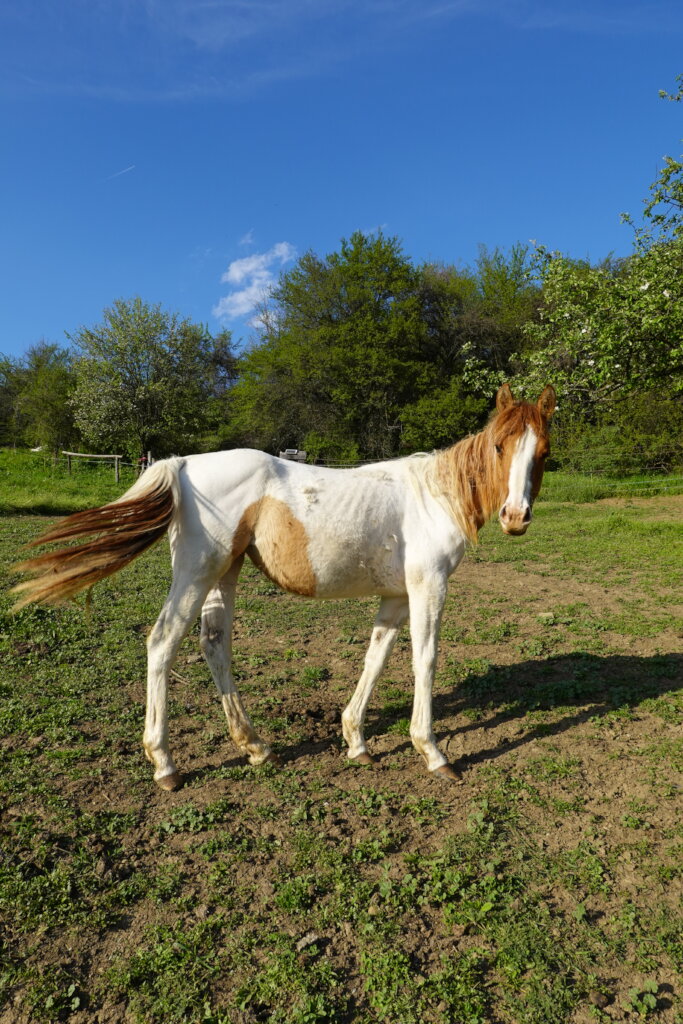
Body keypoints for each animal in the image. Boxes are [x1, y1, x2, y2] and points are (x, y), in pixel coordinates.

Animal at [14, 382, 556, 791]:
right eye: (500, 446)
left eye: (544, 454)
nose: (515, 517)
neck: (433, 496)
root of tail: (183, 463)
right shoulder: (429, 588)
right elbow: (425, 660)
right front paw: (433, 752)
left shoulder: (397, 596)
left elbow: (376, 658)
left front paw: (356, 741)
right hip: (195, 575)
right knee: (162, 644)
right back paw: (165, 764)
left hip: (223, 575)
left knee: (215, 645)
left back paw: (255, 746)